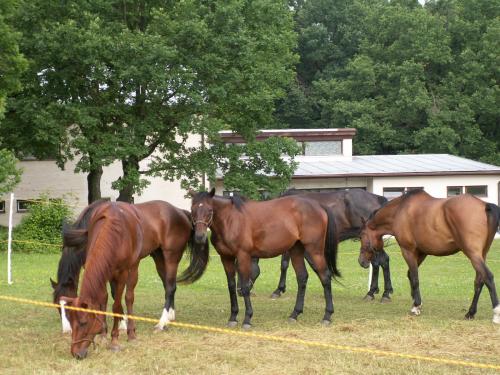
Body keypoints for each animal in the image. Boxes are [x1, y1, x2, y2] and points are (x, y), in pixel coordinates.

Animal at [58, 201, 209, 360]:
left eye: (84, 322)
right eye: (71, 319)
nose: (76, 353)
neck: (112, 227)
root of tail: (180, 211)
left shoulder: (123, 272)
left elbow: (118, 304)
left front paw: (117, 338)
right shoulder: (104, 270)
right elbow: (103, 299)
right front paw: (104, 334)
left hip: (171, 257)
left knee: (168, 288)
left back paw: (161, 323)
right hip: (158, 256)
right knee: (167, 285)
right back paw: (169, 317)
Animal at [190, 189, 340, 328]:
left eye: (210, 210)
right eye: (192, 210)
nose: (199, 237)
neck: (230, 220)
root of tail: (319, 206)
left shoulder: (243, 256)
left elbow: (245, 286)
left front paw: (247, 319)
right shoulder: (226, 258)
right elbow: (231, 286)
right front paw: (233, 317)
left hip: (314, 251)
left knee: (325, 277)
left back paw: (327, 316)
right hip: (296, 250)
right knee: (302, 278)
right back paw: (295, 314)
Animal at [358, 191, 498, 324]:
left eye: (361, 236)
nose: (361, 261)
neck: (399, 210)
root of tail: (484, 205)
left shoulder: (408, 251)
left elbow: (415, 278)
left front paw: (416, 306)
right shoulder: (422, 253)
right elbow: (411, 275)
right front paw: (416, 302)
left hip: (473, 254)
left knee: (488, 277)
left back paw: (496, 314)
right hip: (482, 254)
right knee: (479, 281)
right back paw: (470, 313)